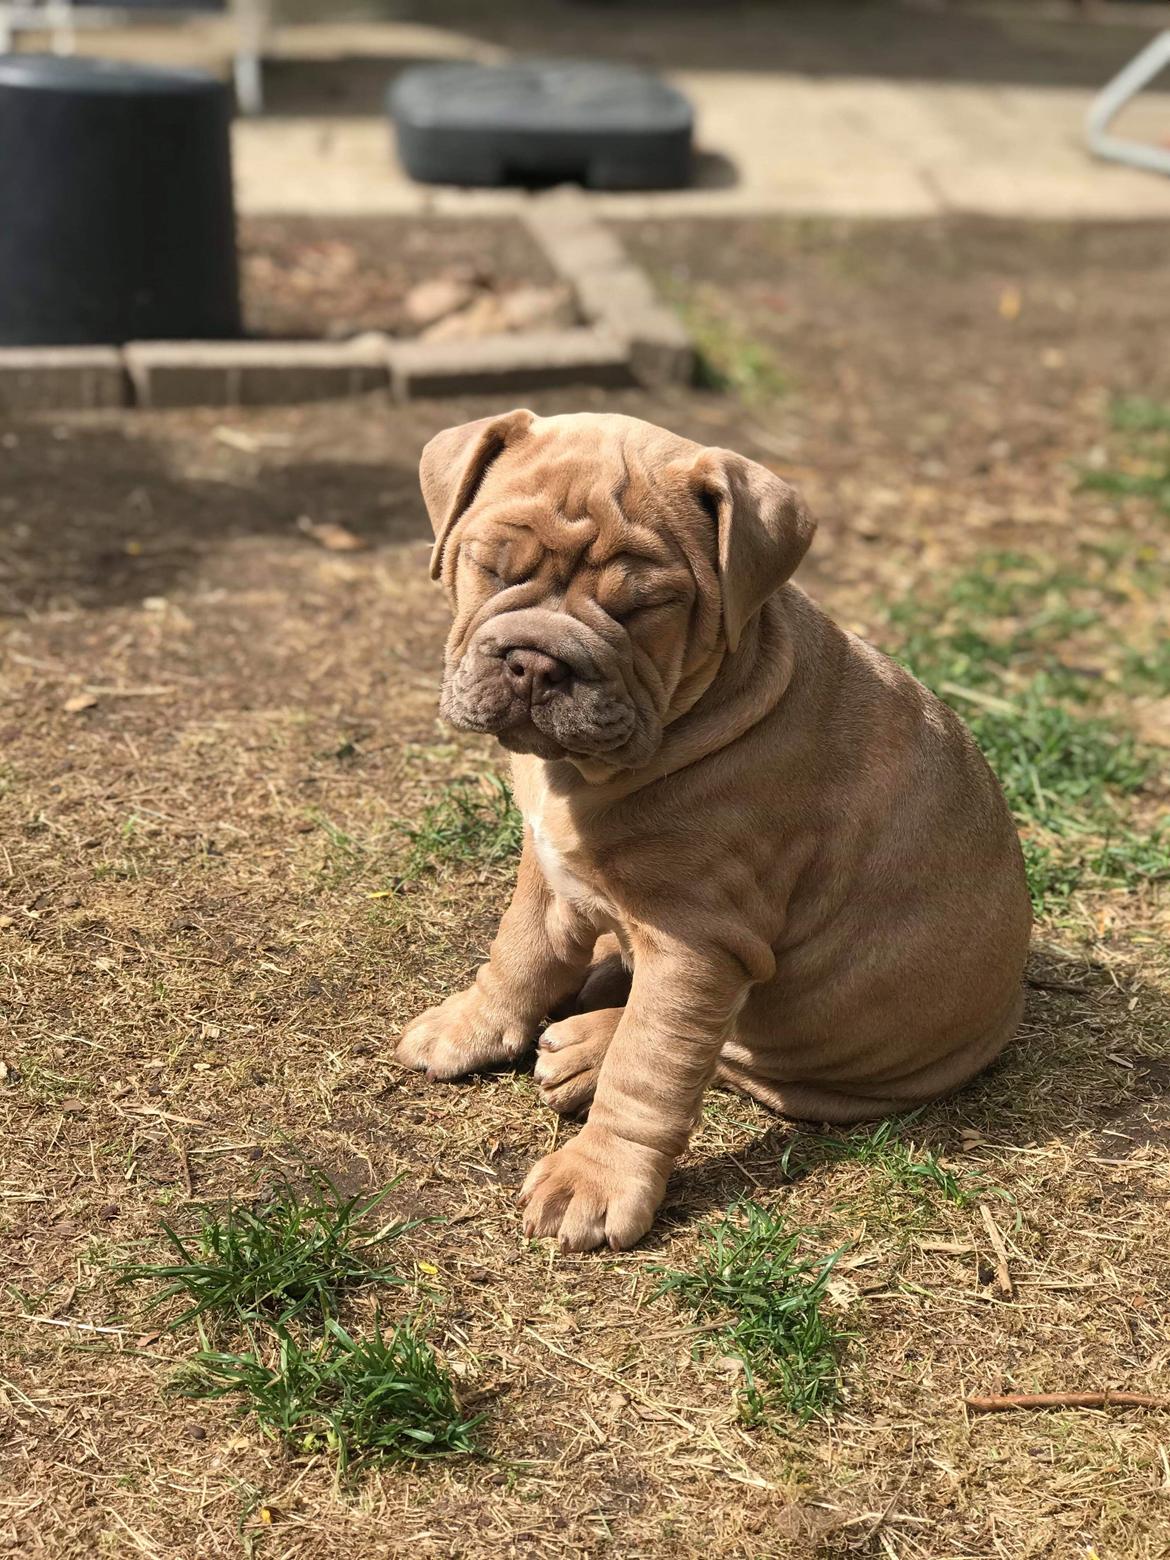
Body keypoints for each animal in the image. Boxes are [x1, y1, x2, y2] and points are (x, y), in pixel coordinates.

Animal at [396, 408, 1035, 1248]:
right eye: (493, 566)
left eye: (642, 609)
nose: (536, 665)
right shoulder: (545, 865)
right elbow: (519, 951)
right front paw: (469, 1026)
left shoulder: (699, 943)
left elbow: (651, 1068)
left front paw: (595, 1179)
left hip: (810, 1051)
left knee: (719, 1055)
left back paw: (587, 1050)